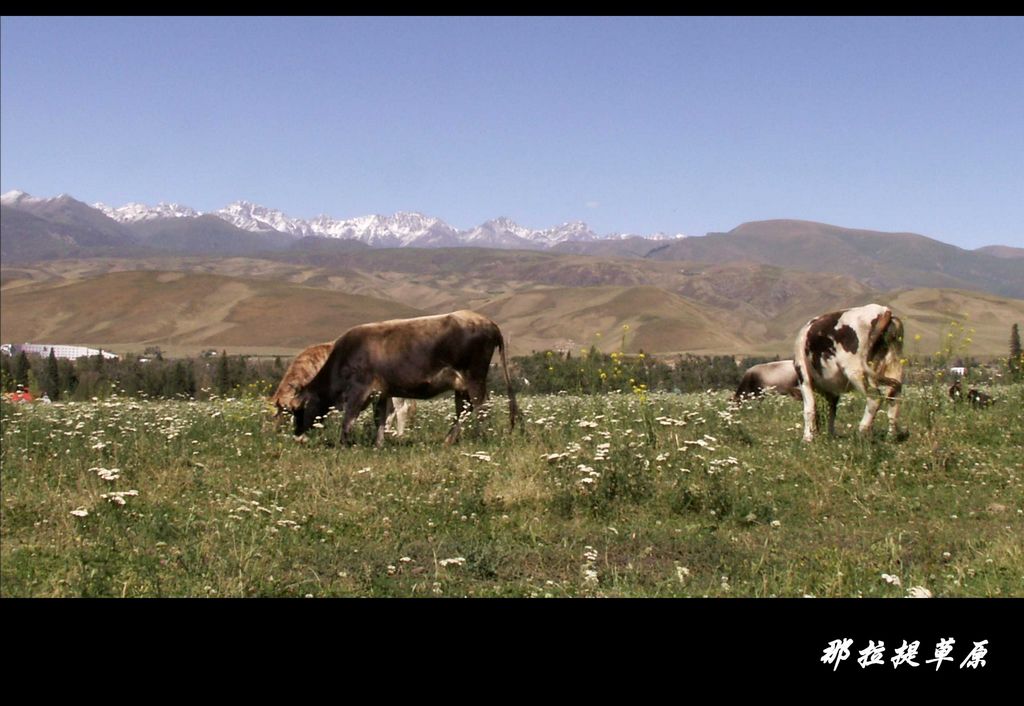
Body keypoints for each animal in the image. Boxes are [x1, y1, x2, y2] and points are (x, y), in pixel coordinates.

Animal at [294, 309, 520, 446]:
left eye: (299, 409)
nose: (296, 436)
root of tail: (487, 322)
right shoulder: (382, 391)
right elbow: (380, 419)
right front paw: (378, 444)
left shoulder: (359, 391)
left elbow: (348, 420)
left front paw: (344, 444)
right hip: (461, 384)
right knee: (464, 410)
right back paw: (448, 440)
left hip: (474, 378)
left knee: (481, 407)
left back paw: (480, 437)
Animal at [790, 301, 905, 440]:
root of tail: (883, 310)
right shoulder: (831, 389)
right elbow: (832, 411)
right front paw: (830, 435)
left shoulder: (803, 375)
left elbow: (809, 409)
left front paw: (807, 438)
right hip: (893, 364)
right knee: (893, 396)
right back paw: (891, 436)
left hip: (856, 371)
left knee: (874, 398)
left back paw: (862, 431)